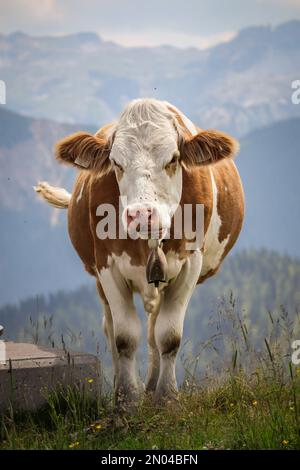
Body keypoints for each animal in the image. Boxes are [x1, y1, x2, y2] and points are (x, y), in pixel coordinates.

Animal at [35, 99, 245, 408]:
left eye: (173, 159)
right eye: (116, 163)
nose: (143, 215)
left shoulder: (189, 266)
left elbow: (169, 336)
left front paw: (166, 397)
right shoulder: (107, 267)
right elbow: (124, 338)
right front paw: (127, 399)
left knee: (154, 332)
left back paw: (152, 386)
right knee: (112, 329)